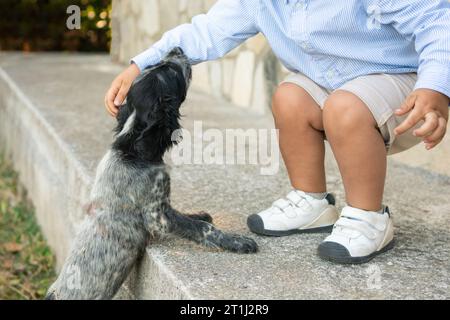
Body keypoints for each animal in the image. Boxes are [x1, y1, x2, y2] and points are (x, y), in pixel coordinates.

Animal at [45, 47, 258, 300]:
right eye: (170, 70)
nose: (177, 48)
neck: (130, 150)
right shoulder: (158, 217)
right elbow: (200, 229)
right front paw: (237, 241)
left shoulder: (163, 206)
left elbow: (186, 216)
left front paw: (199, 214)